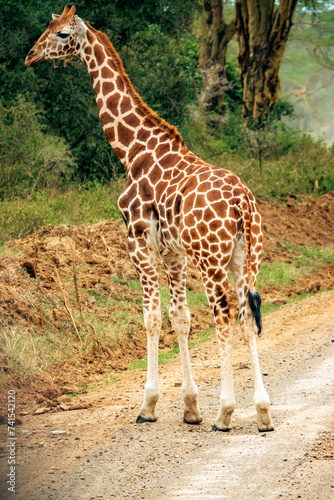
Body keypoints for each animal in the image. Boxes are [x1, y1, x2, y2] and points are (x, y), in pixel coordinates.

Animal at [26, 3, 274, 432]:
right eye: (48, 26)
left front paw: (149, 405)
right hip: (246, 257)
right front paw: (190, 407)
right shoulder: (173, 253)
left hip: (211, 260)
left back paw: (226, 413)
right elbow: (180, 318)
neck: (133, 152)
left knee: (224, 316)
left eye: (61, 34)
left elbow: (152, 318)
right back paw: (261, 413)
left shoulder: (138, 242)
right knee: (246, 316)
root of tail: (243, 202)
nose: (30, 56)